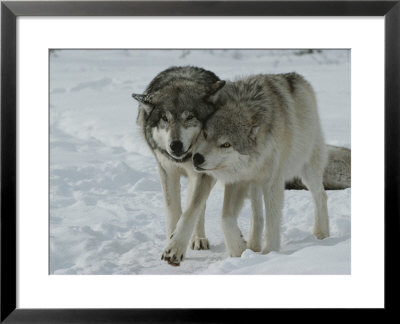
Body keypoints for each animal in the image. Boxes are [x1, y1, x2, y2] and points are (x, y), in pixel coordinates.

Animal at [131, 66, 225, 266]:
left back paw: (198, 239)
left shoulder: (201, 174)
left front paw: (175, 248)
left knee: (199, 206)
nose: (175, 145)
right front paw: (170, 241)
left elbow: (191, 210)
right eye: (164, 118)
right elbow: (173, 210)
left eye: (189, 116)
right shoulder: (167, 171)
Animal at [192, 73, 330, 256]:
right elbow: (225, 219)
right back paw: (253, 245)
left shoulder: (272, 183)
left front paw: (269, 253)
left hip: (308, 170)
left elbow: (272, 221)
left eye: (226, 144)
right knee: (257, 215)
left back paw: (322, 234)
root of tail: (296, 76)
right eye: (206, 134)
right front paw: (239, 250)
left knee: (321, 196)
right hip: (255, 185)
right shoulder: (238, 180)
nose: (197, 158)